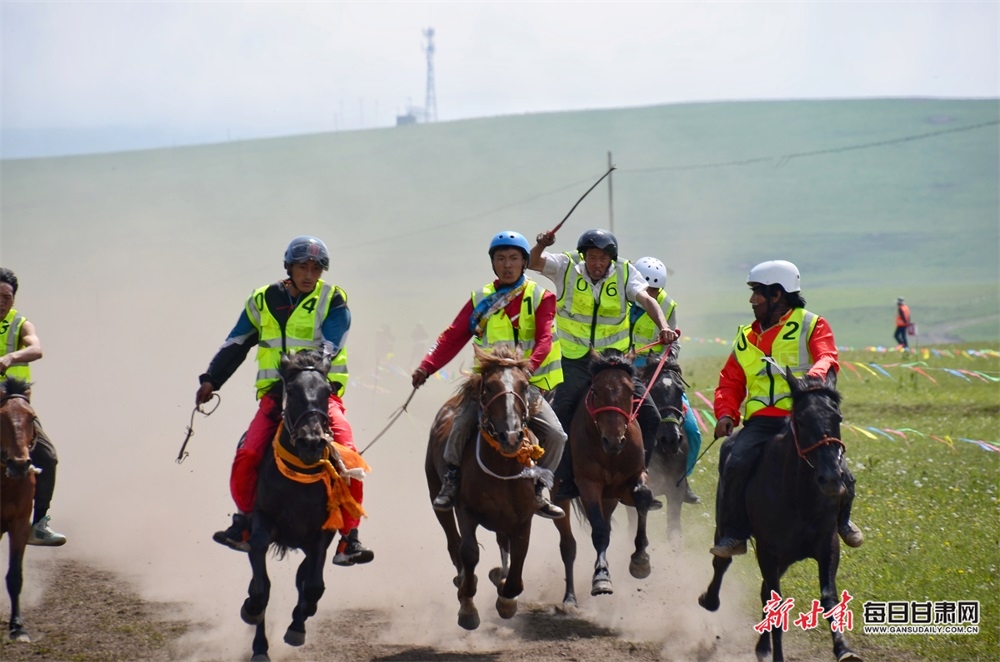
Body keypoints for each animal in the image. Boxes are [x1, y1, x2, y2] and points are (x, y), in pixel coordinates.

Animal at [238, 350, 368, 660]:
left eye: (326, 392)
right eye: (293, 391)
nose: (311, 441)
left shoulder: (321, 533)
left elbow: (312, 586)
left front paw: (298, 626)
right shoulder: (261, 522)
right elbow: (261, 588)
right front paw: (252, 611)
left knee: (303, 579)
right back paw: (259, 645)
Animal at [426, 344, 544, 632]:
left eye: (525, 385)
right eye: (489, 387)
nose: (511, 437)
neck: (502, 466)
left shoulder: (523, 518)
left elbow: (518, 560)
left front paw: (507, 599)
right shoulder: (466, 510)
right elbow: (468, 553)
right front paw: (467, 607)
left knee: (503, 544)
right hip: (436, 494)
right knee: (453, 542)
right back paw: (463, 581)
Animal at [552, 350, 660, 608]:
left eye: (630, 392)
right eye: (596, 391)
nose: (613, 441)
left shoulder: (633, 478)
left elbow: (642, 498)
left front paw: (640, 559)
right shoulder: (588, 484)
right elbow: (599, 532)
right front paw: (601, 578)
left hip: (609, 498)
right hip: (560, 500)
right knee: (568, 545)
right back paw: (569, 597)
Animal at [700, 370, 864, 662]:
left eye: (838, 417)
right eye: (800, 420)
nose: (832, 479)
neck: (799, 497)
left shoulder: (828, 545)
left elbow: (828, 597)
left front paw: (844, 649)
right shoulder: (768, 550)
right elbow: (775, 600)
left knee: (765, 590)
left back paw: (762, 647)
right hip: (726, 530)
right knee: (722, 564)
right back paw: (710, 599)